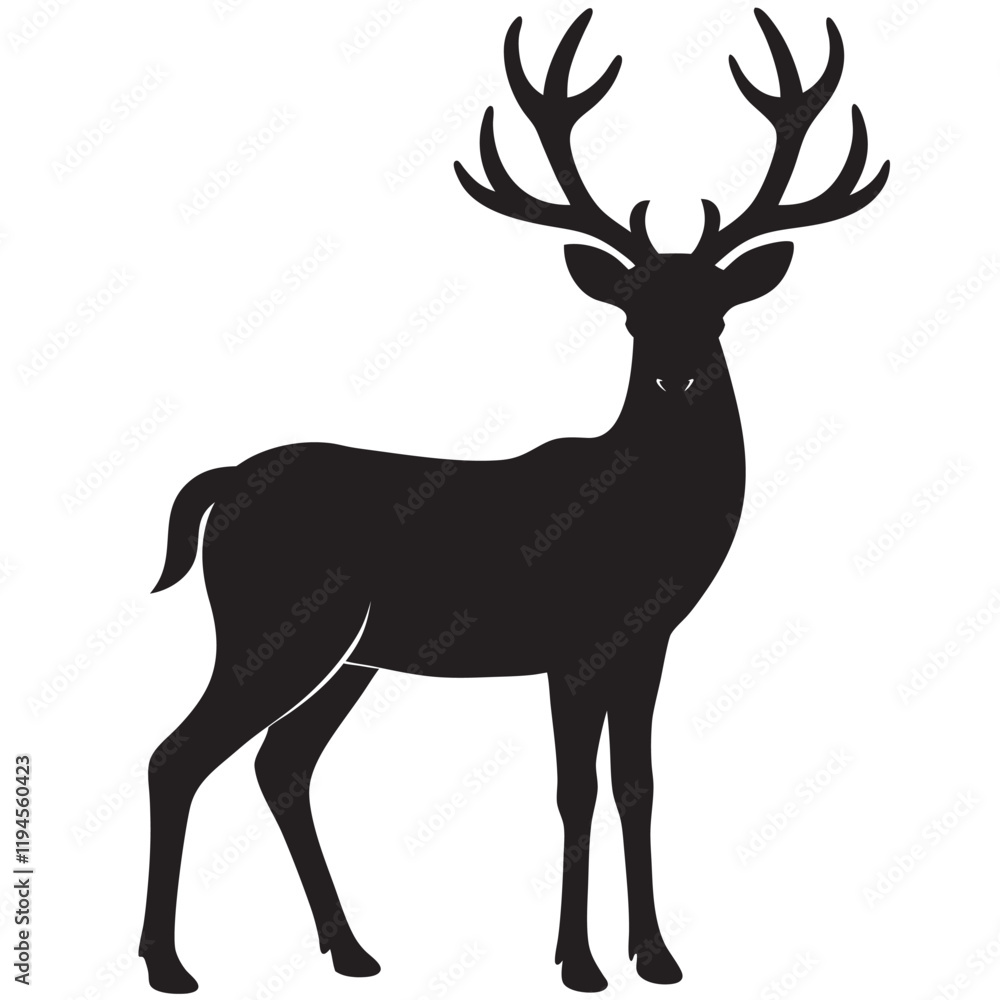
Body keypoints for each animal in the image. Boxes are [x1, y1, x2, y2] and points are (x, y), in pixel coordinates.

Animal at [139, 7, 887, 994]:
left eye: (718, 310)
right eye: (632, 313)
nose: (676, 375)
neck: (646, 518)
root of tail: (220, 486)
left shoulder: (646, 643)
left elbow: (638, 786)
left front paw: (657, 955)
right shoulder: (572, 643)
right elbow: (575, 792)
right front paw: (579, 963)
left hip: (352, 652)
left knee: (281, 763)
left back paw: (352, 949)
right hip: (275, 628)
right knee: (178, 755)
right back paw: (167, 963)